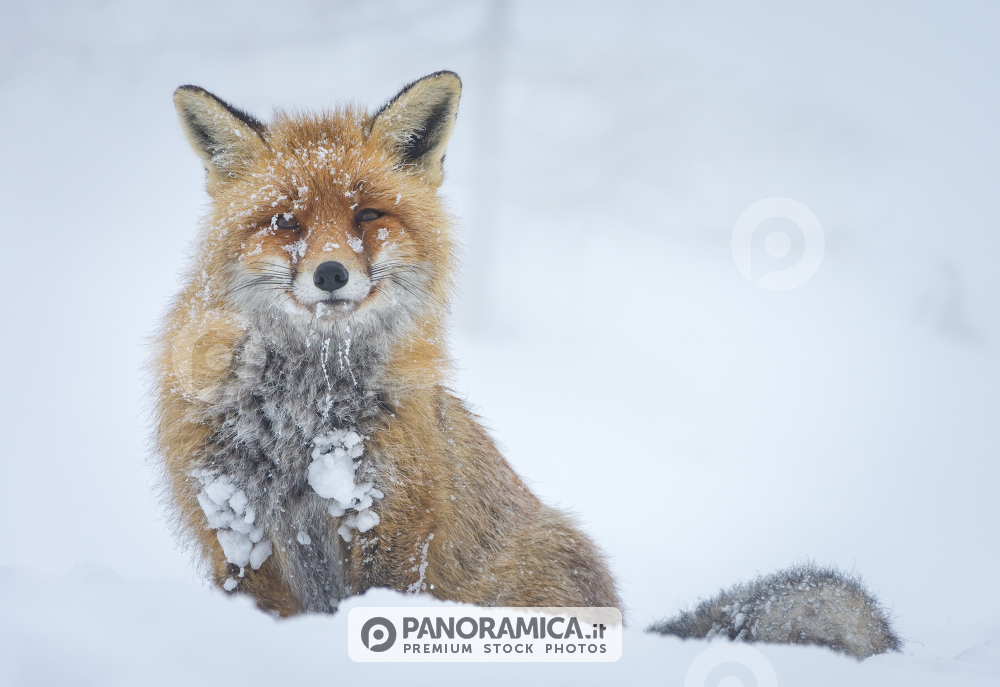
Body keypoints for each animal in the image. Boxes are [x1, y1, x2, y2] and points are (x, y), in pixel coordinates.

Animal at [153, 71, 900, 659]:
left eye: (368, 214)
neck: (302, 417)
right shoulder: (237, 532)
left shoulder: (392, 526)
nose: (331, 275)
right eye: (286, 222)